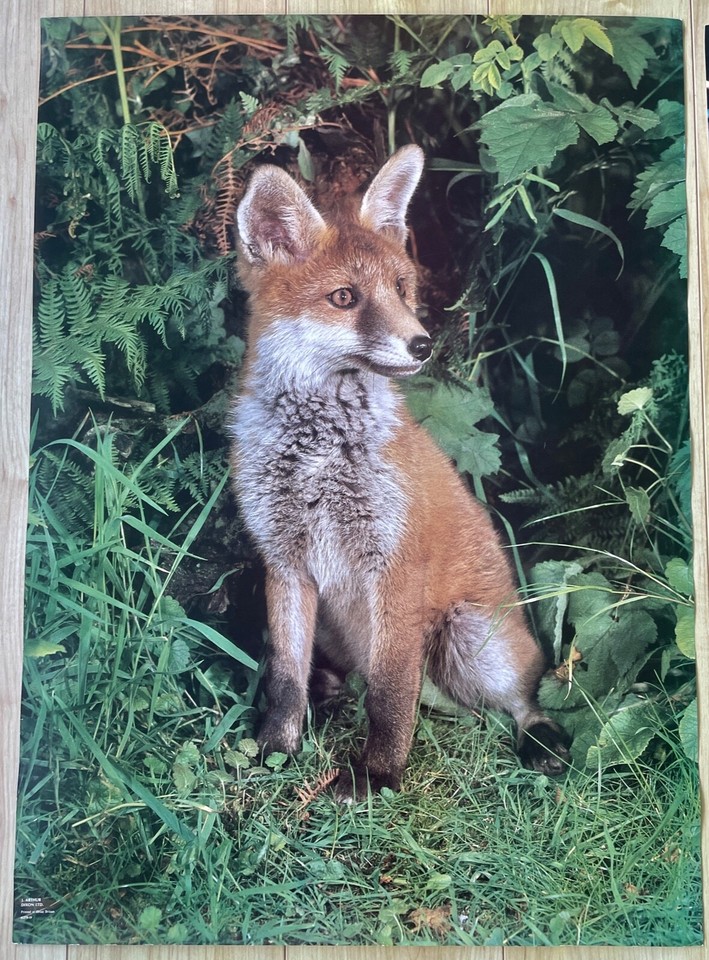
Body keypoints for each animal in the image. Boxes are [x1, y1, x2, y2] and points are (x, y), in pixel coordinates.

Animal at [230, 144, 570, 802]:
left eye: (402, 287)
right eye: (344, 298)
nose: (423, 344)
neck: (320, 454)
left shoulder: (393, 565)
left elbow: (391, 695)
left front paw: (378, 777)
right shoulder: (284, 563)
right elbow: (284, 677)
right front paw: (276, 750)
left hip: (470, 636)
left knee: (521, 697)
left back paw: (539, 739)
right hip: (339, 628)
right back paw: (330, 695)